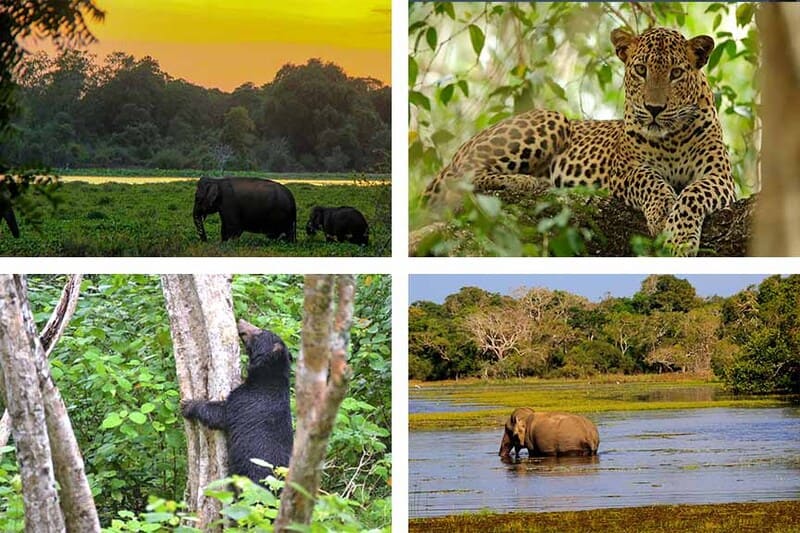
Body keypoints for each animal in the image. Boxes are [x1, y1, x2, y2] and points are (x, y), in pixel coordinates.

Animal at [181, 318, 294, 484]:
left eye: (259, 331)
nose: (240, 321)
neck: (268, 377)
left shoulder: (246, 402)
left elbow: (220, 414)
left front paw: (188, 405)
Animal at [424, 27, 736, 256]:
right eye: (641, 70)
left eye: (676, 73)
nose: (654, 108)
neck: (671, 137)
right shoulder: (626, 170)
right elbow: (651, 181)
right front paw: (661, 213)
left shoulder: (719, 176)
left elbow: (693, 194)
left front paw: (680, 238)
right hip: (552, 118)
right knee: (460, 177)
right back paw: (525, 181)